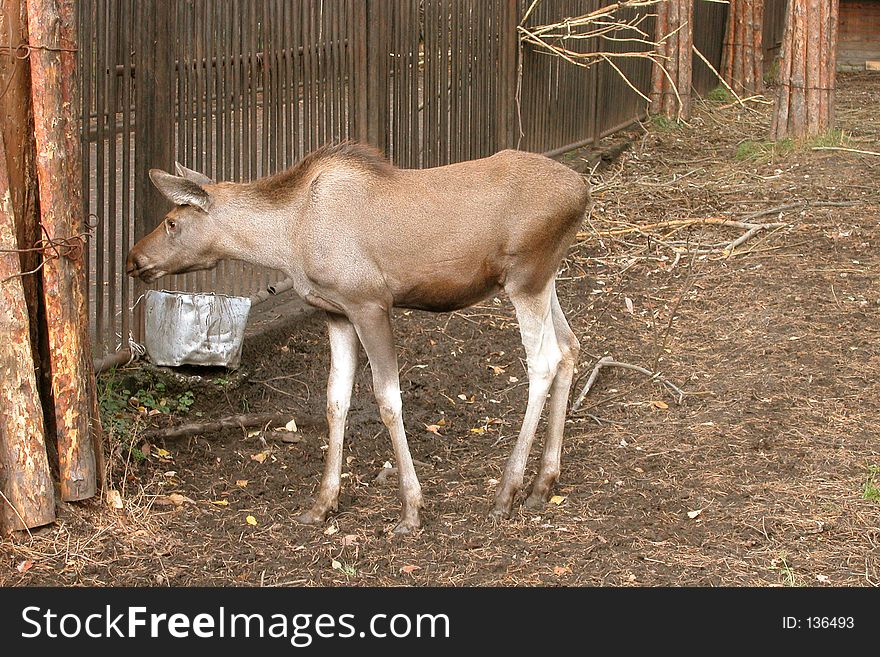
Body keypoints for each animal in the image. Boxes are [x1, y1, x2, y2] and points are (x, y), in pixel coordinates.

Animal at [125, 145, 592, 532]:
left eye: (171, 222)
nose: (133, 259)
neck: (288, 240)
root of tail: (583, 192)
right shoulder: (336, 312)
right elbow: (335, 400)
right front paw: (321, 504)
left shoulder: (370, 303)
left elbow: (388, 399)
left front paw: (410, 509)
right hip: (545, 279)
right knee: (571, 346)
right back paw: (543, 482)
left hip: (525, 278)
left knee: (544, 361)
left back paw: (507, 491)